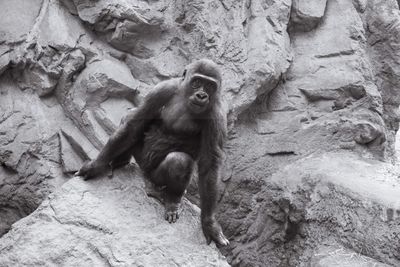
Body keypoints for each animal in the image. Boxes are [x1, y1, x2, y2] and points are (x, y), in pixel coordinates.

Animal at [76, 58, 230, 247]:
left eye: (209, 86)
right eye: (197, 82)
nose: (202, 95)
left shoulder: (217, 115)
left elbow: (210, 163)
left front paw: (209, 223)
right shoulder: (162, 89)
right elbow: (134, 123)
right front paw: (96, 165)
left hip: (155, 177)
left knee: (179, 161)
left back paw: (172, 199)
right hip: (141, 158)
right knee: (132, 120)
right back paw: (119, 161)